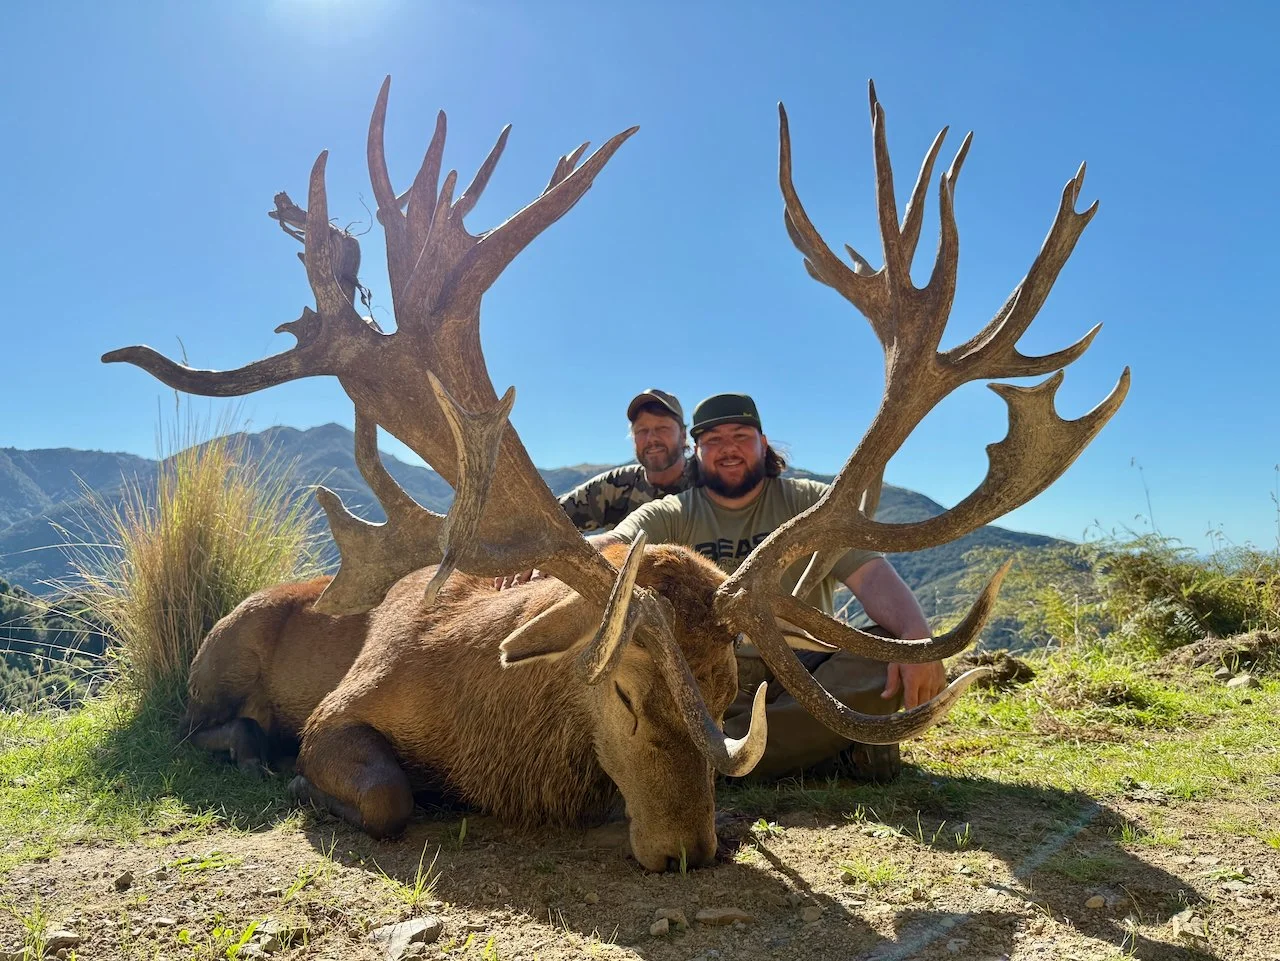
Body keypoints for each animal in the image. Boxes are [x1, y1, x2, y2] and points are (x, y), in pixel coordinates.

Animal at [104, 77, 1128, 871]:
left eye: (724, 692)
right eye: (627, 692)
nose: (686, 851)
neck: (490, 726)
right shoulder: (339, 711)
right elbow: (388, 795)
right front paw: (321, 784)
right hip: (216, 649)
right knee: (193, 723)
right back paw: (247, 748)